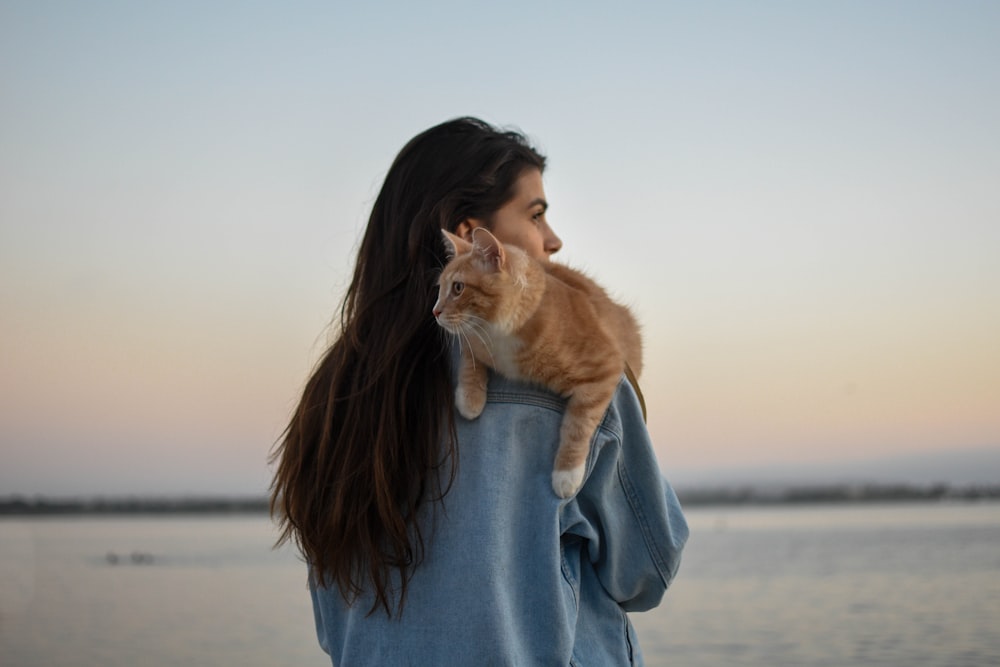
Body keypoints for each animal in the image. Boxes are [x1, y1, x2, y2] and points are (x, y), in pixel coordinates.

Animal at [436, 230, 640, 496]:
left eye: (458, 288)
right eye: (440, 289)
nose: (435, 312)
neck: (500, 336)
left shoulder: (605, 367)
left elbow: (578, 425)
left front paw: (566, 474)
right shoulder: (474, 340)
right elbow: (471, 356)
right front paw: (470, 398)